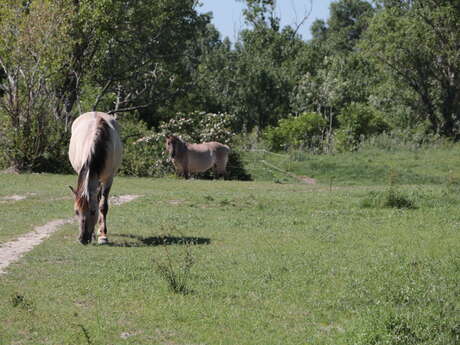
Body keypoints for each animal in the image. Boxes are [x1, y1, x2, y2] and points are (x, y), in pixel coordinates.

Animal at [68, 111, 122, 243]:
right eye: (76, 212)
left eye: (93, 212)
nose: (83, 239)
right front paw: (93, 235)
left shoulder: (109, 178)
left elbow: (103, 206)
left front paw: (102, 235)